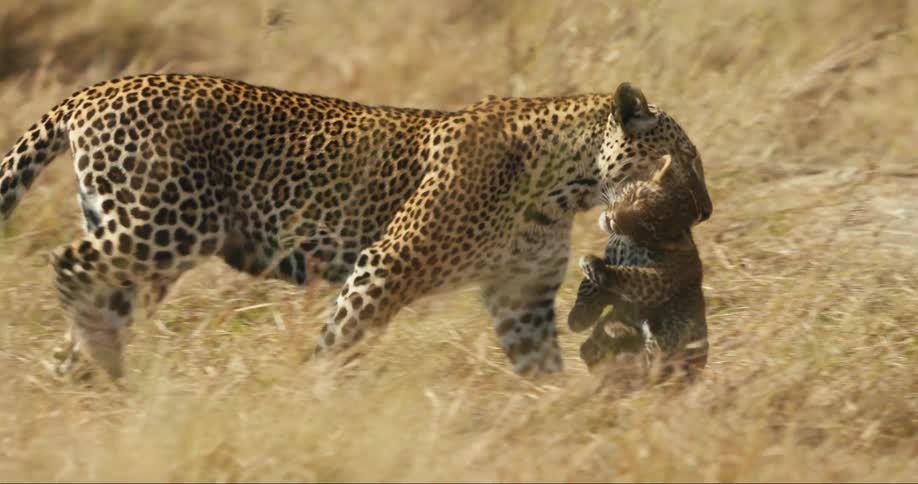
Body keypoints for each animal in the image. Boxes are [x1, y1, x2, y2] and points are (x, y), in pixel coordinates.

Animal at [568, 154, 710, 381]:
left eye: (647, 224)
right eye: (635, 197)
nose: (613, 220)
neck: (628, 241)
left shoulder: (662, 279)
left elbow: (630, 275)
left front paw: (592, 264)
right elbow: (588, 286)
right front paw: (578, 317)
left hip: (671, 343)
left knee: (648, 368)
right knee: (590, 350)